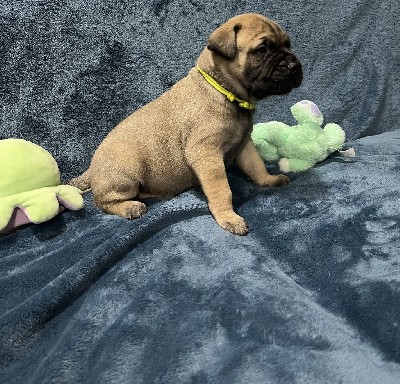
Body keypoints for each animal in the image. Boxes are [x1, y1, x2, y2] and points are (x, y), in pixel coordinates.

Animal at [71, 12, 304, 234]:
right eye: (262, 49)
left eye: (288, 44)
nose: (295, 65)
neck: (223, 90)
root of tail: (91, 169)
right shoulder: (207, 154)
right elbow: (222, 189)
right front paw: (228, 217)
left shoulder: (244, 144)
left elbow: (256, 166)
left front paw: (268, 180)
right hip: (126, 174)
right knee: (102, 202)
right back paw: (129, 206)